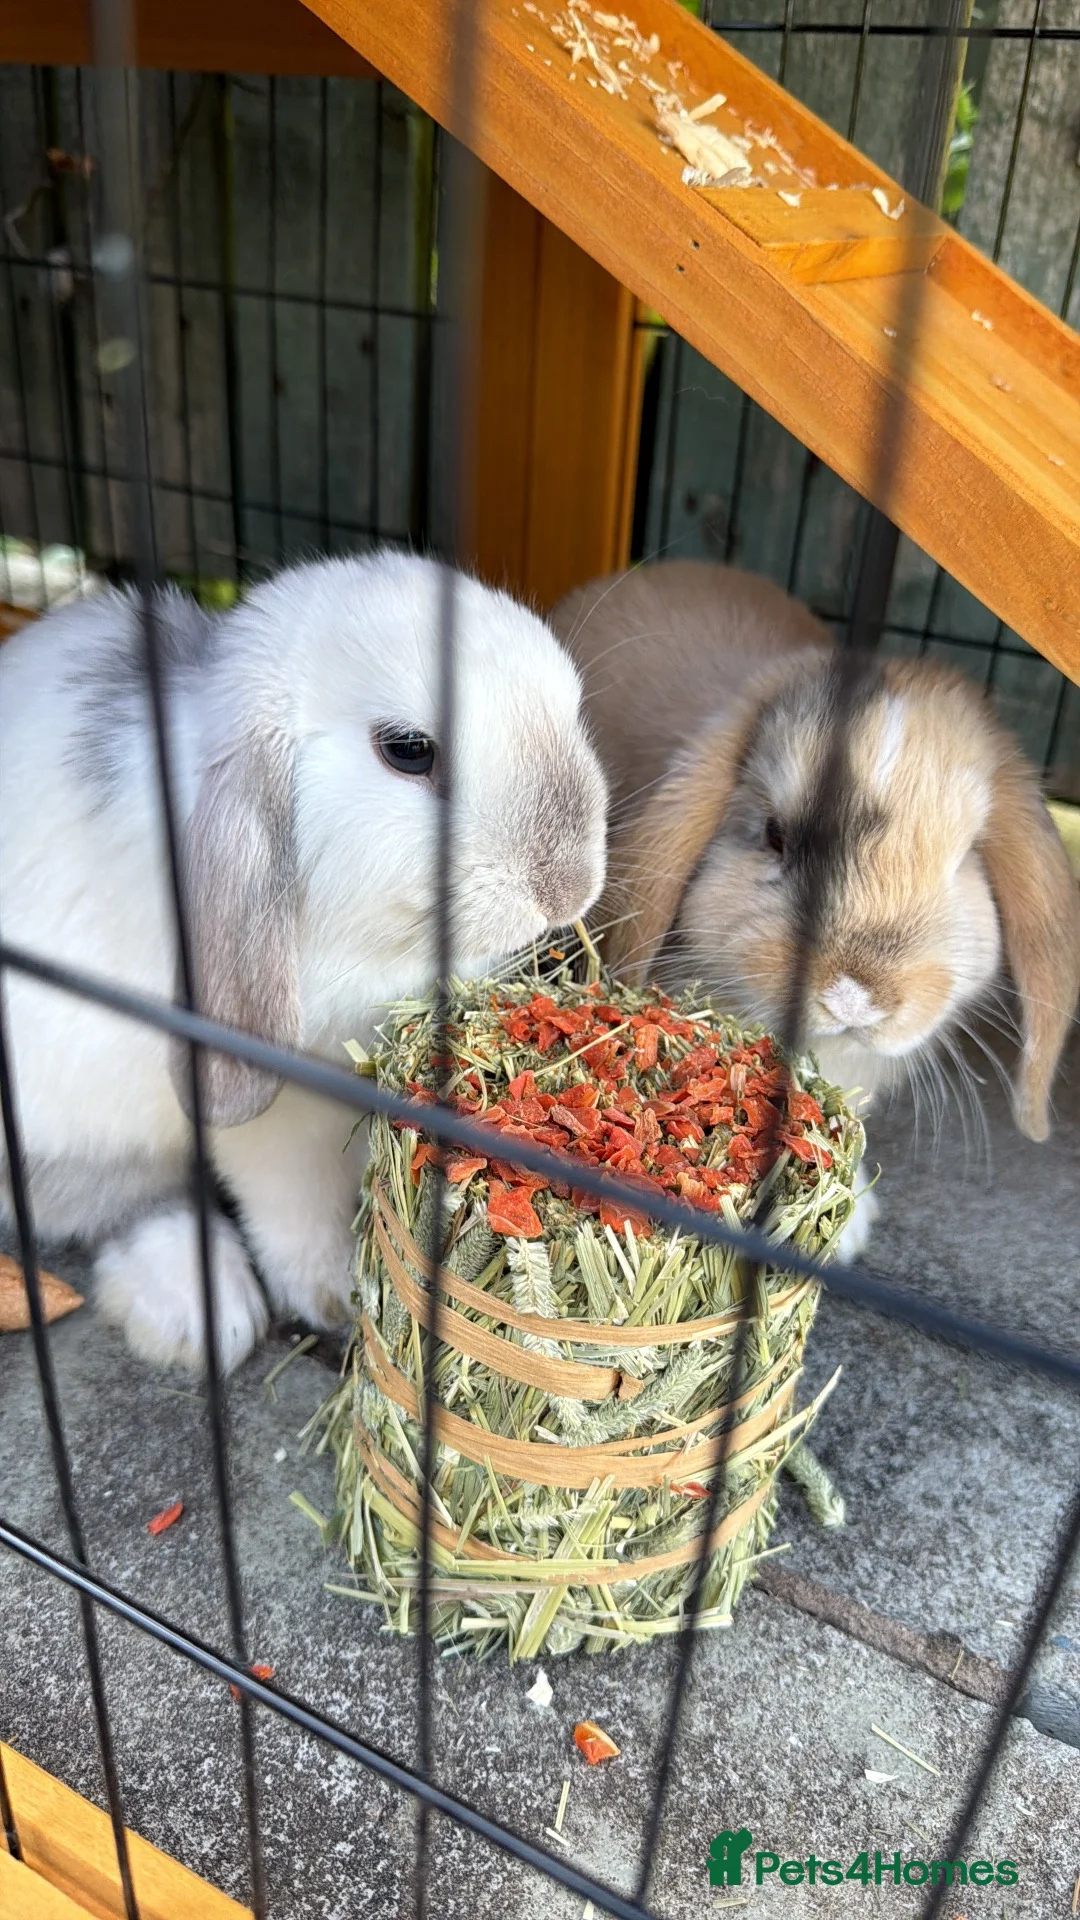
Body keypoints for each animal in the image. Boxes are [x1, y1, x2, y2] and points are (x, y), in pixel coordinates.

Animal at [0, 551, 608, 1370]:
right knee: (114, 1200)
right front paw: (338, 1295)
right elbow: (293, 1203)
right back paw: (198, 1313)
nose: (567, 888)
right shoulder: (274, 1116)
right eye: (408, 749)